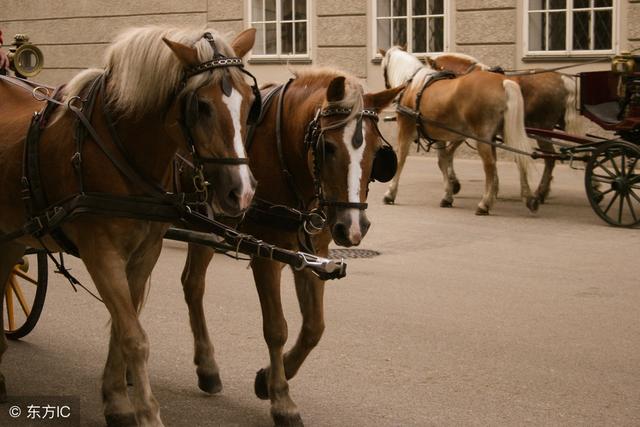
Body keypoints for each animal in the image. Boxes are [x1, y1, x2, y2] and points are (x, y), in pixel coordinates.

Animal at [1, 25, 260, 426]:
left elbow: (124, 325)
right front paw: (148, 413)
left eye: (249, 102)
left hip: (13, 235)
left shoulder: (144, 252)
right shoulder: (101, 252)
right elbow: (134, 336)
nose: (242, 193)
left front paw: (117, 402)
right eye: (200, 106)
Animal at [380, 47, 540, 216]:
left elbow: (401, 159)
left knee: (490, 165)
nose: (388, 91)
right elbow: (442, 161)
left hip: (483, 137)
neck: (413, 86)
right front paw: (448, 194)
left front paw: (390, 193)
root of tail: (502, 82)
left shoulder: (405, 130)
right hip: (506, 132)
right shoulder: (439, 136)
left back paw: (485, 203)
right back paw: (528, 198)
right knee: (519, 158)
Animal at [428, 52, 584, 204]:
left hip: (543, 129)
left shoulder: (469, 130)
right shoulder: (486, 134)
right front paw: (492, 189)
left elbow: (449, 153)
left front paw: (455, 184)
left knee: (550, 160)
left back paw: (540, 193)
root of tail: (563, 78)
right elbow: (490, 159)